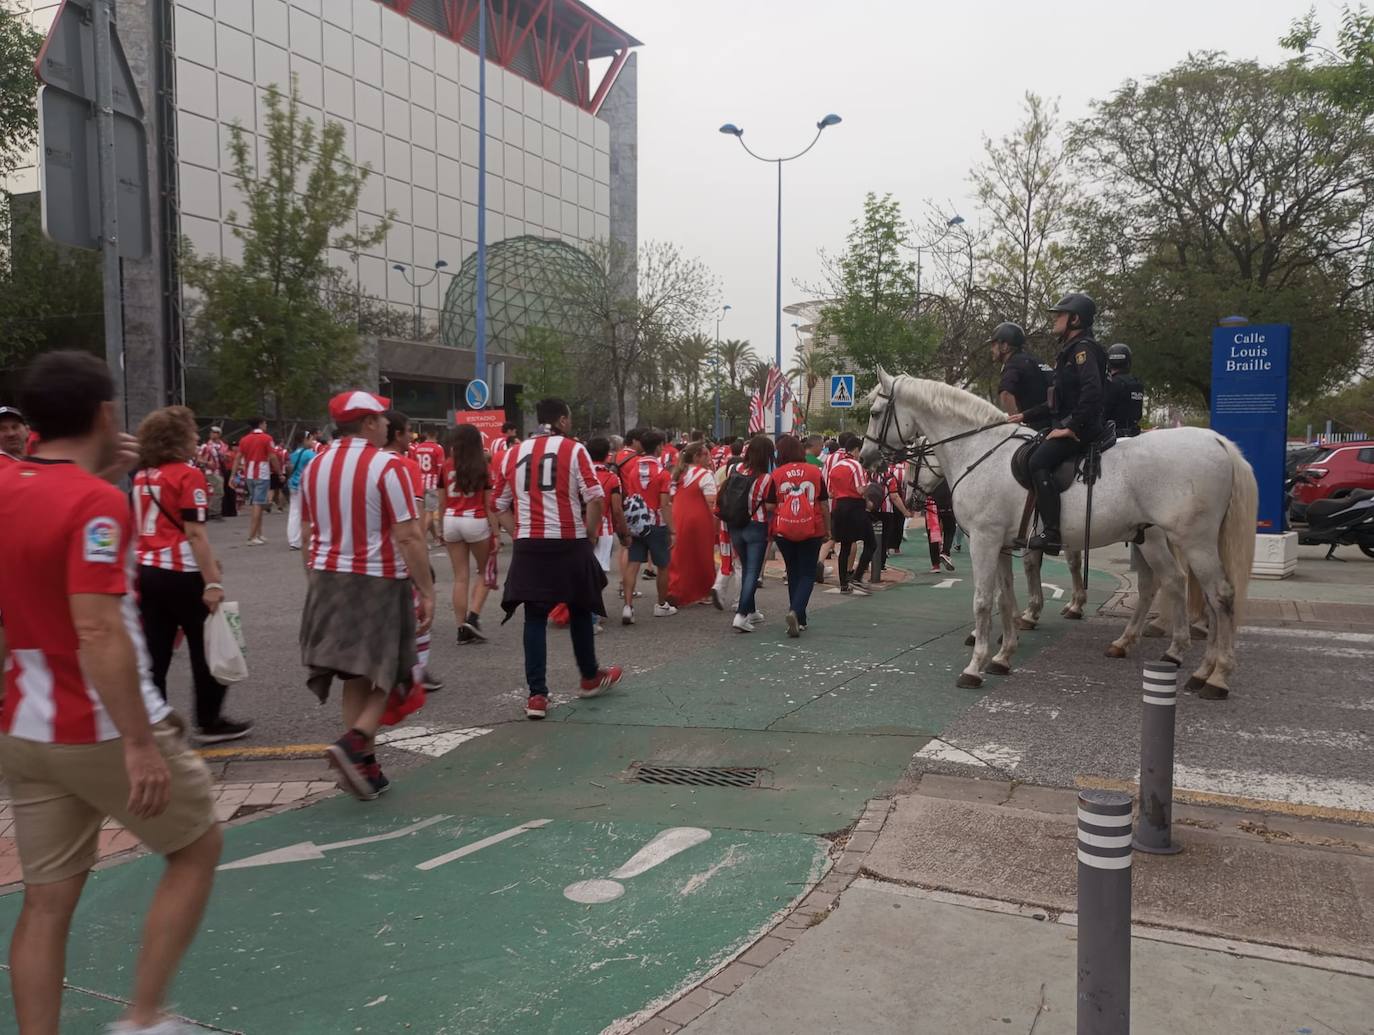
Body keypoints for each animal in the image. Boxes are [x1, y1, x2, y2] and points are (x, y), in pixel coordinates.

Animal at [862, 368, 1258, 698]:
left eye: (876, 412)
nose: (867, 458)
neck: (980, 452)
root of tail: (1217, 441)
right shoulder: (1002, 545)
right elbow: (1006, 599)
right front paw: (1003, 655)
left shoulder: (985, 541)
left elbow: (983, 601)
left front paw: (975, 666)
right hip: (1157, 538)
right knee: (1173, 587)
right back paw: (1173, 657)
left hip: (1193, 541)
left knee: (1216, 595)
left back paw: (1215, 676)